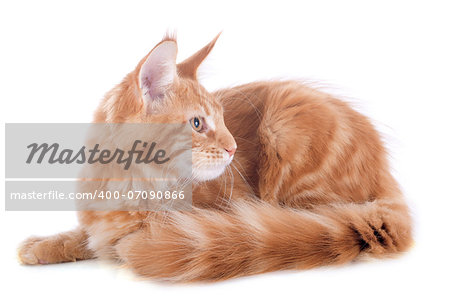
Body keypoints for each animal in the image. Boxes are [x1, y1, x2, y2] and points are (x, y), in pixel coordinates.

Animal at [17, 33, 414, 280]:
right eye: (197, 123)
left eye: (222, 120)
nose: (233, 147)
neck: (130, 186)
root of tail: (385, 172)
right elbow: (83, 235)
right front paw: (43, 245)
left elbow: (113, 243)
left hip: (287, 134)